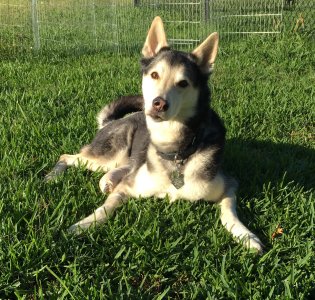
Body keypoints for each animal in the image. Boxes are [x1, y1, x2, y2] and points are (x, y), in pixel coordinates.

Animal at [46, 15, 264, 251]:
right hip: (110, 154)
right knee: (67, 156)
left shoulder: (229, 185)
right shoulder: (128, 187)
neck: (176, 149)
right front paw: (84, 224)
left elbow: (229, 212)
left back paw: (107, 180)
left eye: (183, 83)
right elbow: (106, 208)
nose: (159, 103)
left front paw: (246, 236)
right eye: (154, 75)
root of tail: (111, 122)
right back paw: (52, 176)